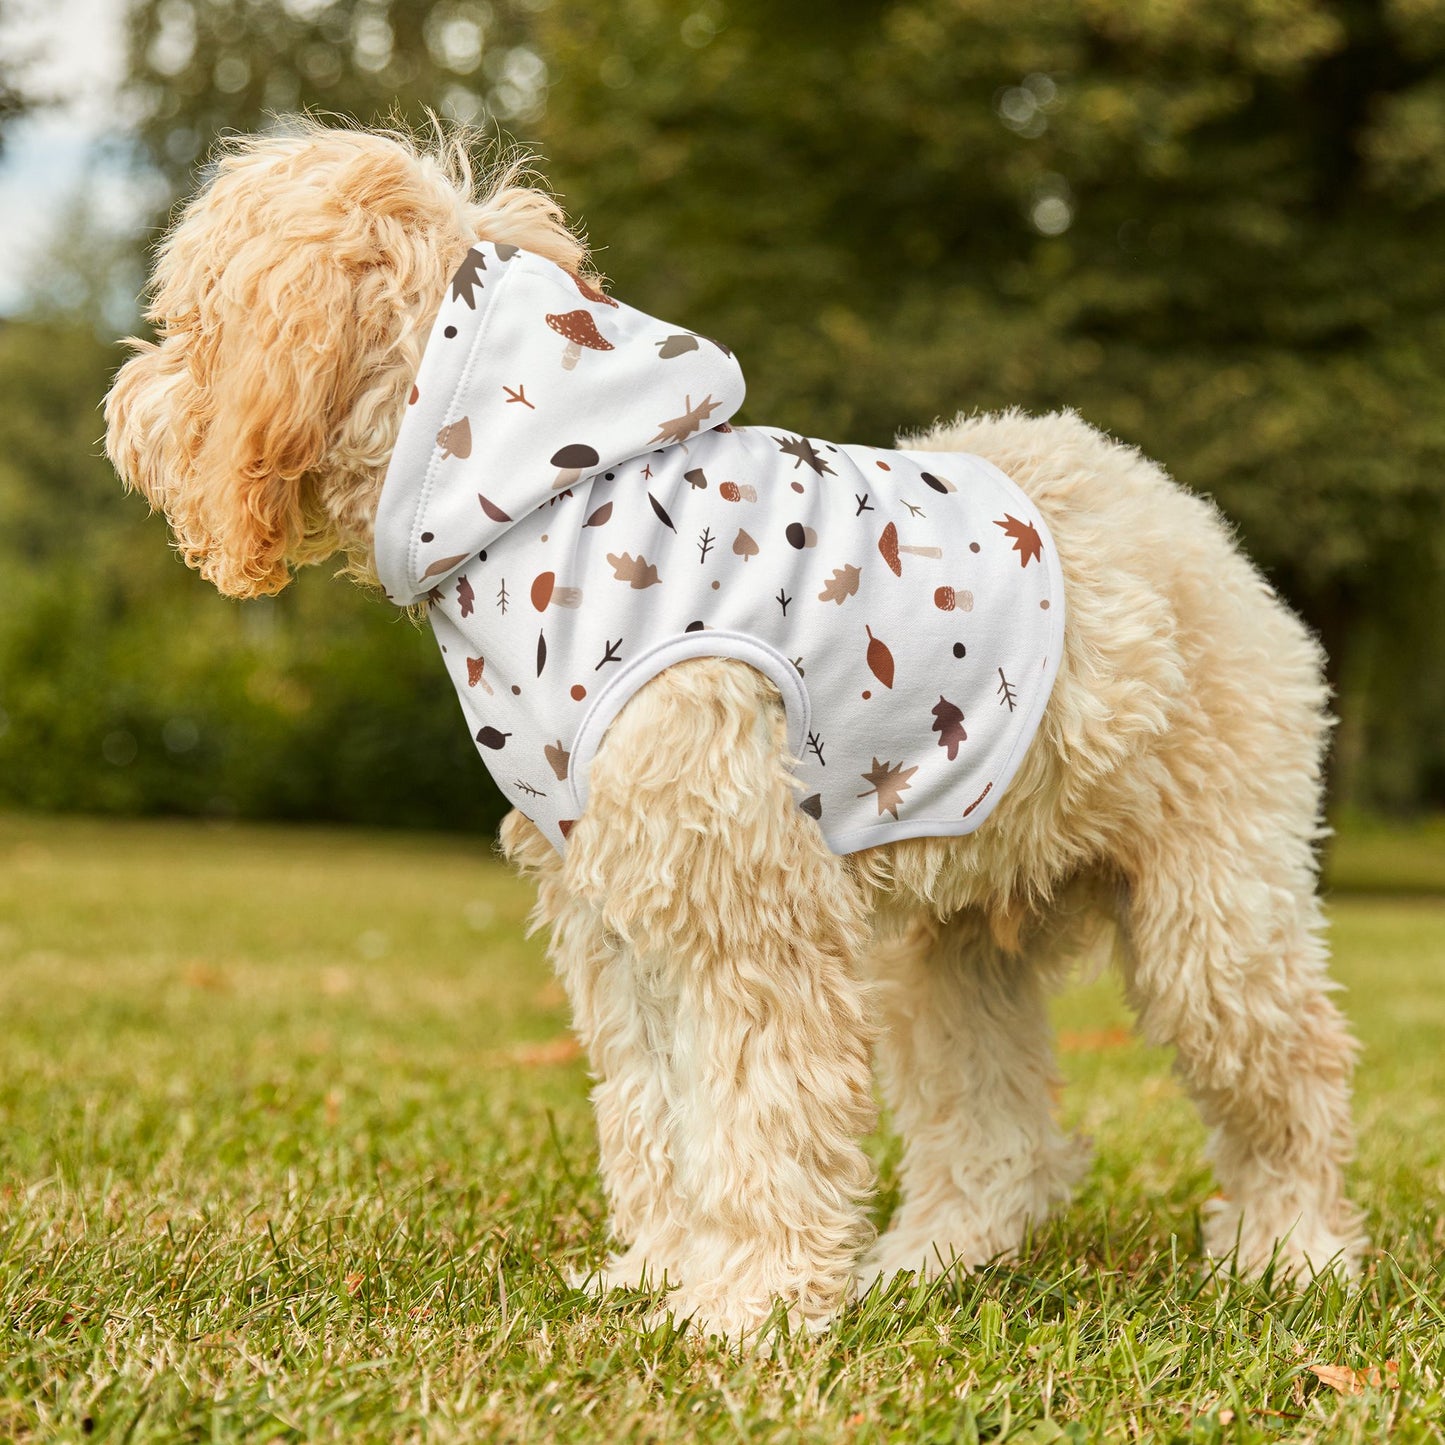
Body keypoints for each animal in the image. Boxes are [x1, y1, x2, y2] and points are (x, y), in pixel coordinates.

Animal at [104, 124, 1364, 1340]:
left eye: (190, 320)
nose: (123, 407)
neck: (539, 496)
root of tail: (1185, 517)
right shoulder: (618, 913)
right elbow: (656, 1111)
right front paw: (662, 1273)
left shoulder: (745, 906)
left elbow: (759, 1109)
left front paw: (747, 1304)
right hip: (948, 947)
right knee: (995, 1132)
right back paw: (929, 1260)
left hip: (1211, 912)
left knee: (1292, 1072)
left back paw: (1290, 1251)